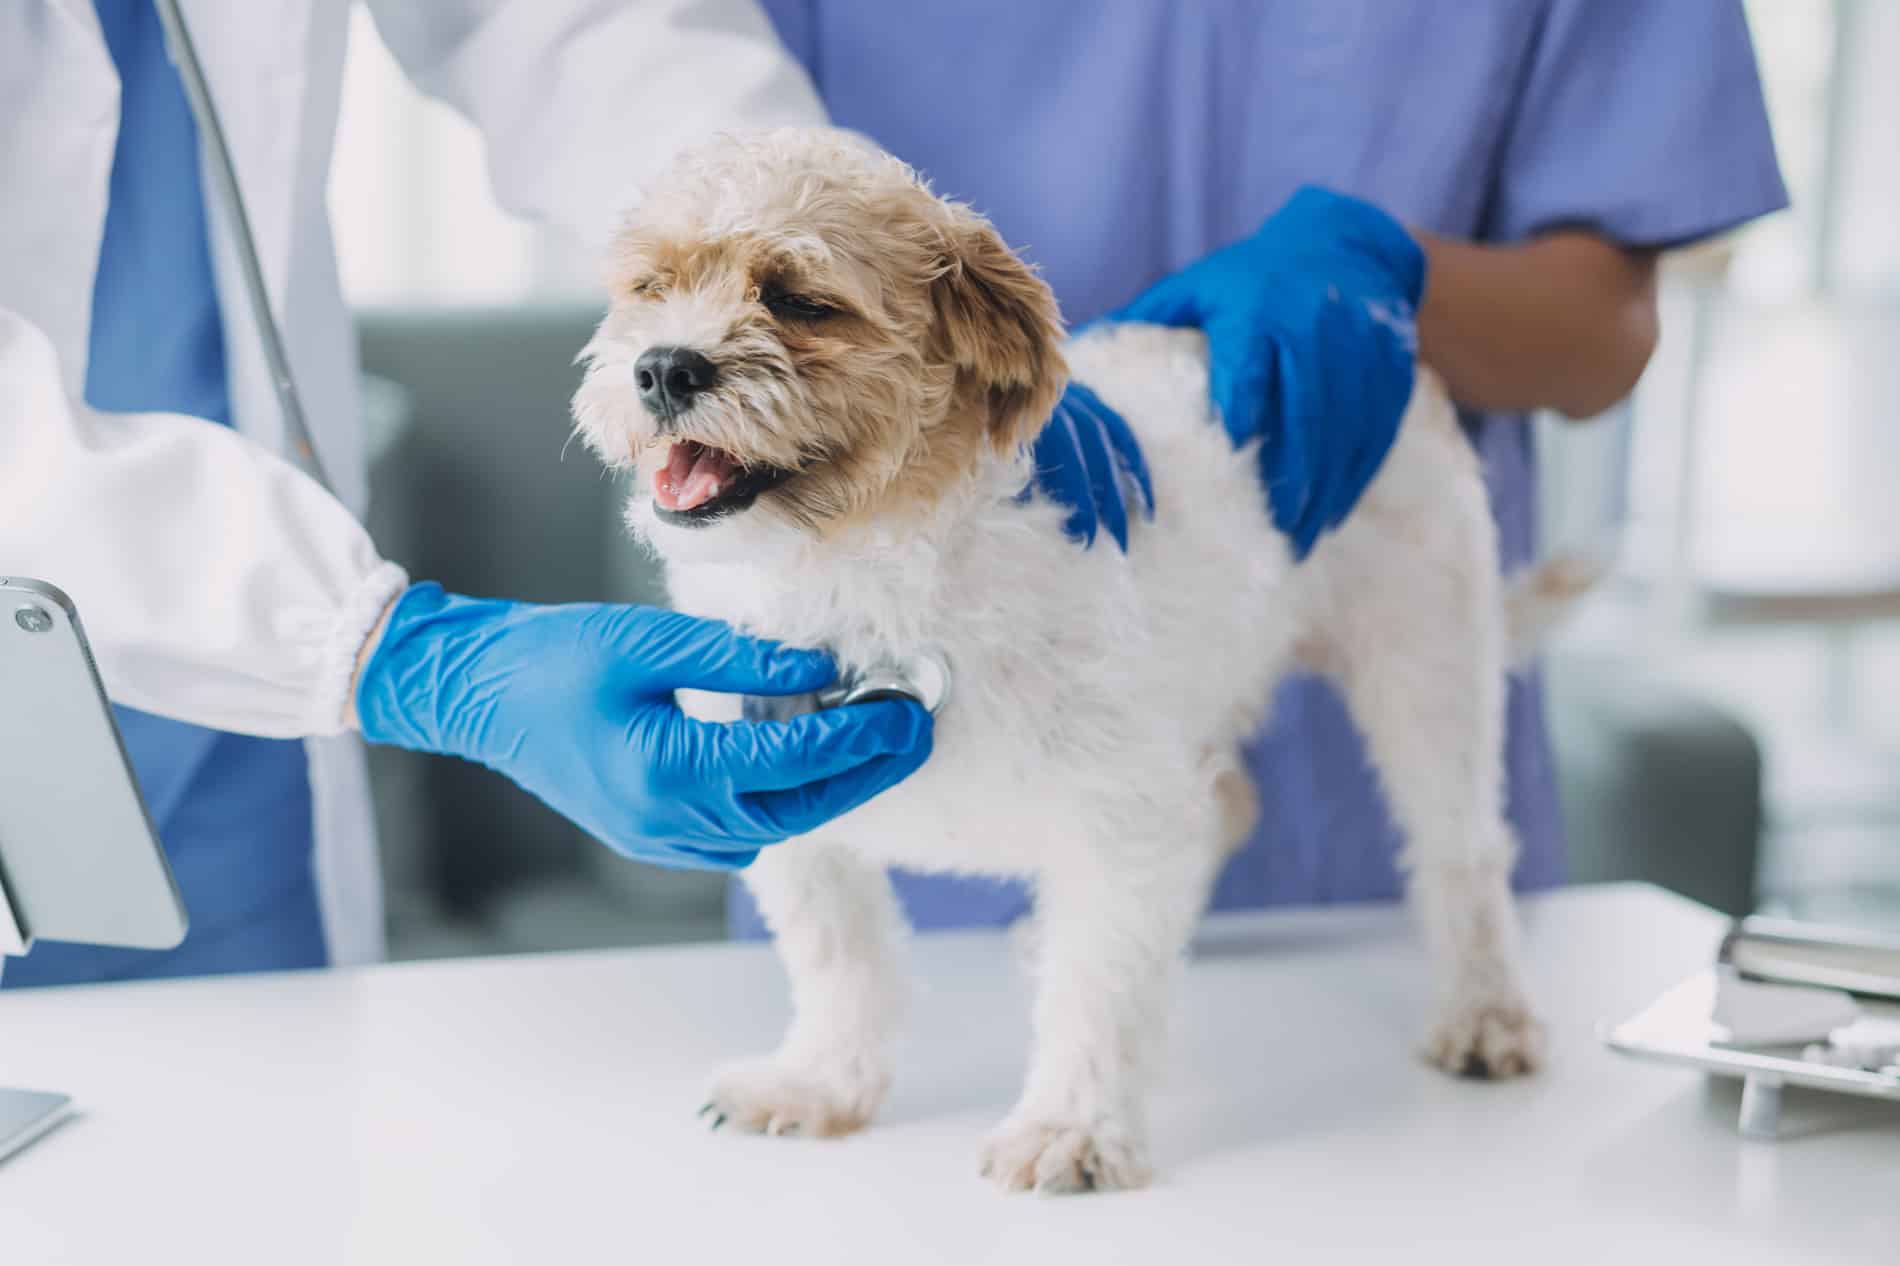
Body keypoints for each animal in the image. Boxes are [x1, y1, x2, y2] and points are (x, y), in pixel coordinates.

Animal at [570, 130, 1565, 1193]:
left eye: (798, 299)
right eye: (651, 286)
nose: (664, 368)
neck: (869, 569)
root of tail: (1404, 356)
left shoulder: (1122, 818)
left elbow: (1102, 985)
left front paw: (1072, 1127)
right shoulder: (777, 809)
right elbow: (842, 959)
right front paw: (821, 1082)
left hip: (1425, 664)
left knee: (1462, 847)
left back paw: (1485, 1013)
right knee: (1230, 803)